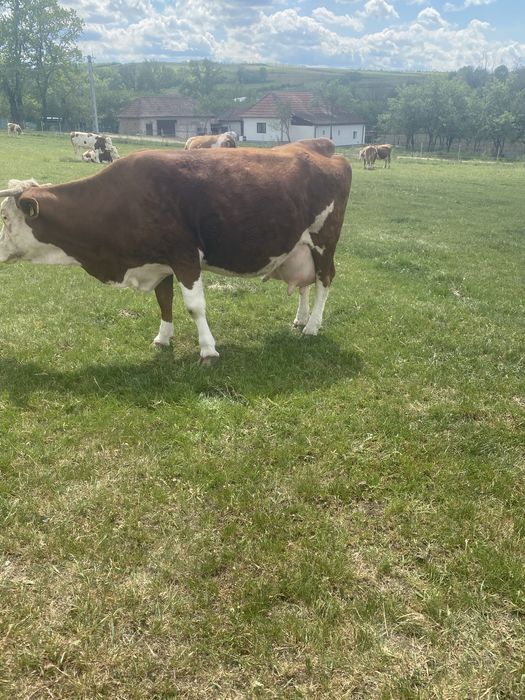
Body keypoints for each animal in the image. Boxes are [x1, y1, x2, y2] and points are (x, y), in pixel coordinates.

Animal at [0, 138, 351, 364]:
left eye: (4, 216)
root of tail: (322, 152)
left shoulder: (184, 256)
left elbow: (194, 306)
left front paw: (208, 350)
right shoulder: (160, 261)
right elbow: (164, 301)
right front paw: (163, 338)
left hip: (324, 240)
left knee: (325, 280)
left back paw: (312, 327)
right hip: (299, 248)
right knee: (306, 284)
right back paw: (300, 319)